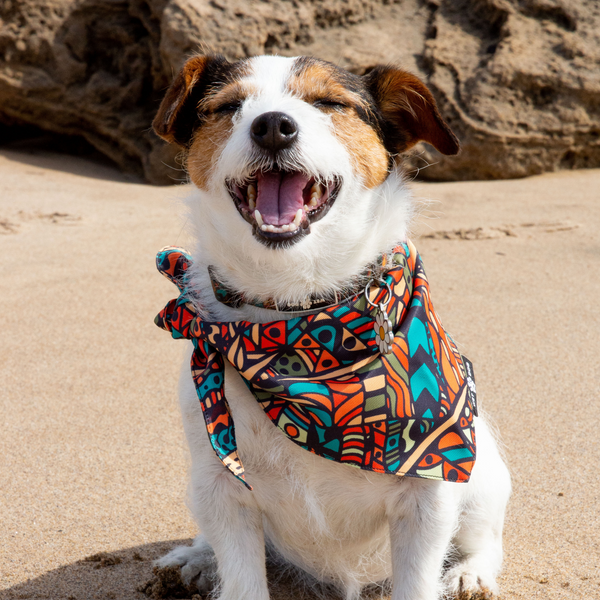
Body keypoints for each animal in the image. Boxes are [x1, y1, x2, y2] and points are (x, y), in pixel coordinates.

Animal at [151, 55, 510, 600]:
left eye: (329, 102)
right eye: (229, 106)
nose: (272, 125)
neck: (295, 322)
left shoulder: (427, 496)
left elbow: (418, 579)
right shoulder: (222, 489)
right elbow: (241, 579)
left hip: (482, 478)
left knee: (486, 539)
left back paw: (470, 574)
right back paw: (194, 558)